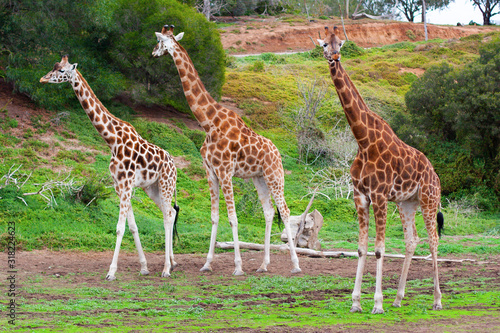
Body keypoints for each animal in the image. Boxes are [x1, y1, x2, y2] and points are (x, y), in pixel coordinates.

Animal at [40, 55, 180, 278]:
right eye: (54, 67)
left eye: (61, 71)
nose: (43, 79)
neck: (112, 140)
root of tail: (174, 165)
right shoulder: (119, 186)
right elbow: (132, 227)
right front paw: (144, 267)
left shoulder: (127, 184)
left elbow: (120, 228)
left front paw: (111, 272)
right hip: (152, 188)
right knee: (171, 214)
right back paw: (172, 262)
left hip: (166, 184)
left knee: (167, 217)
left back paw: (166, 269)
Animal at [152, 24, 300, 274]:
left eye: (160, 41)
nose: (153, 52)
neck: (208, 122)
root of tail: (278, 152)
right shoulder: (210, 172)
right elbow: (214, 217)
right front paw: (207, 264)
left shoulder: (225, 171)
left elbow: (233, 218)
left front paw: (238, 267)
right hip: (259, 178)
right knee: (269, 212)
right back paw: (263, 265)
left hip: (274, 175)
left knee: (286, 211)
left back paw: (296, 265)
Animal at [318, 27, 444, 312]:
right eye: (324, 44)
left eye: (340, 42)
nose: (335, 57)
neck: (363, 141)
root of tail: (435, 173)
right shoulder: (361, 196)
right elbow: (361, 248)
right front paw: (356, 302)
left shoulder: (379, 196)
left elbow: (379, 249)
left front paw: (377, 304)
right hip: (407, 203)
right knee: (412, 240)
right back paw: (398, 298)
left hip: (429, 200)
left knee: (433, 240)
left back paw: (437, 300)